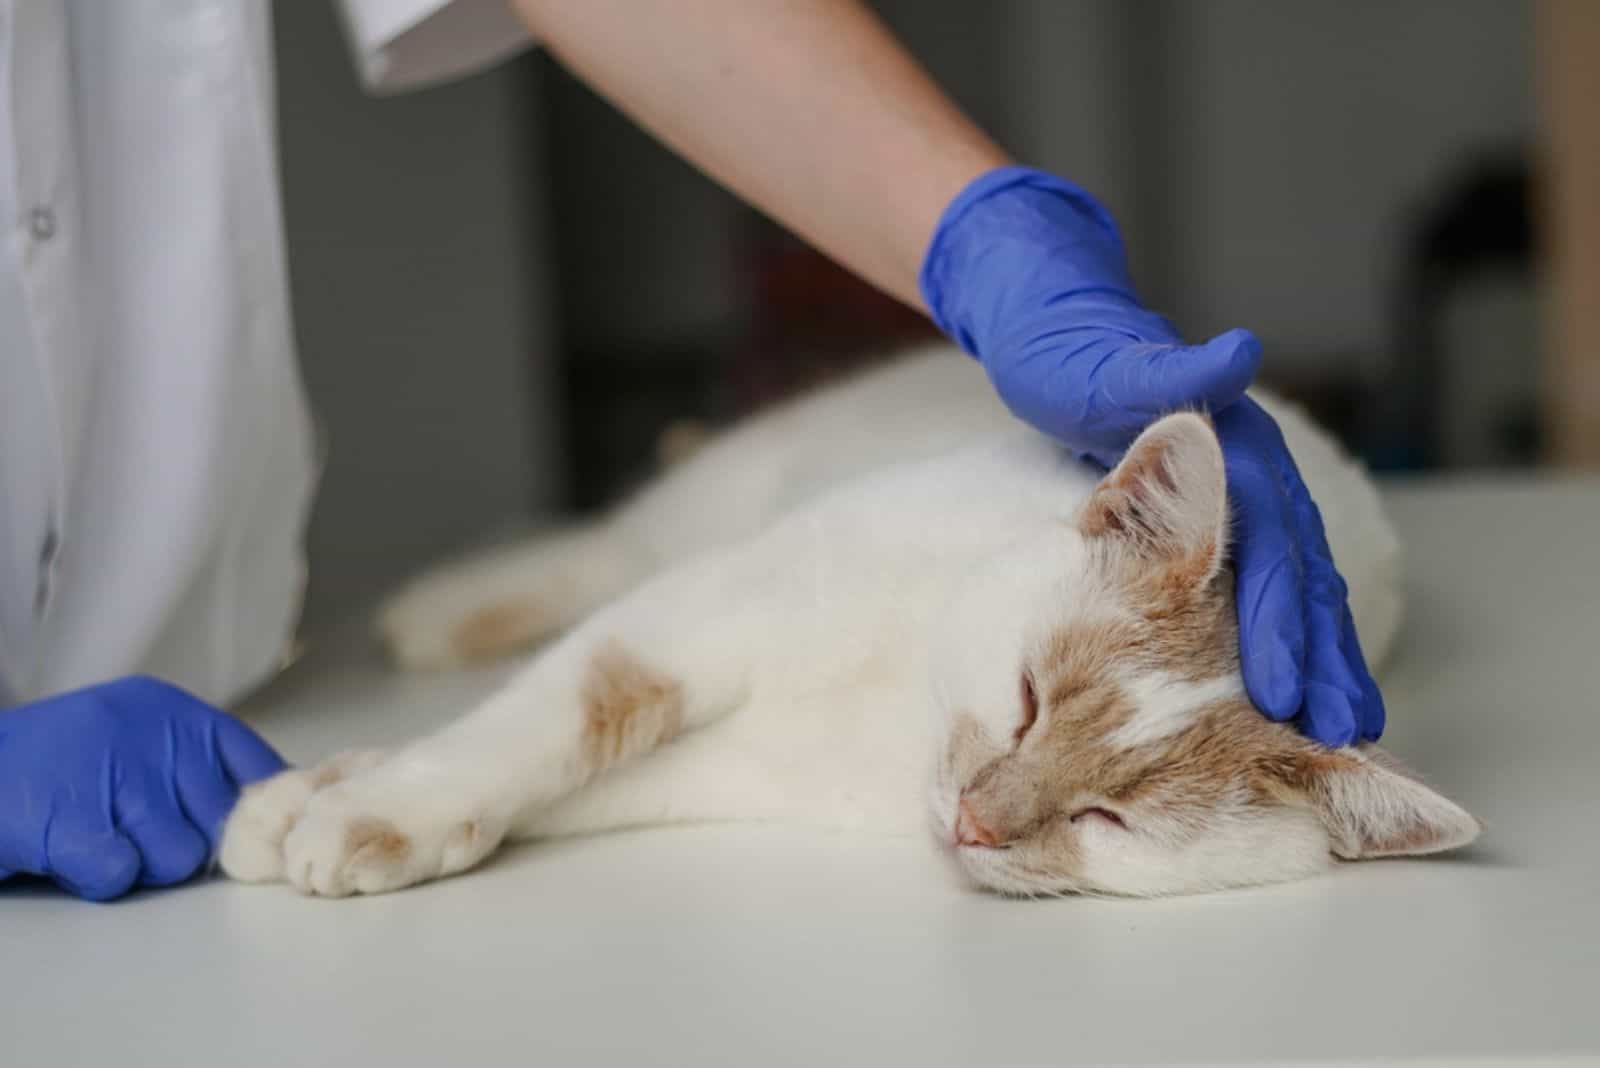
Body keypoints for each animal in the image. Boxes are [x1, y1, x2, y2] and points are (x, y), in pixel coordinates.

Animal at [219, 346, 1478, 895]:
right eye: (1025, 702)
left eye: (1103, 820)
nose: (974, 820)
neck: (899, 697)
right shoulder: (701, 611)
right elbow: (544, 723)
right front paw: (366, 800)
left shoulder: (742, 769)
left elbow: (577, 779)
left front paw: (320, 802)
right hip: (722, 499)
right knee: (604, 548)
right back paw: (444, 609)